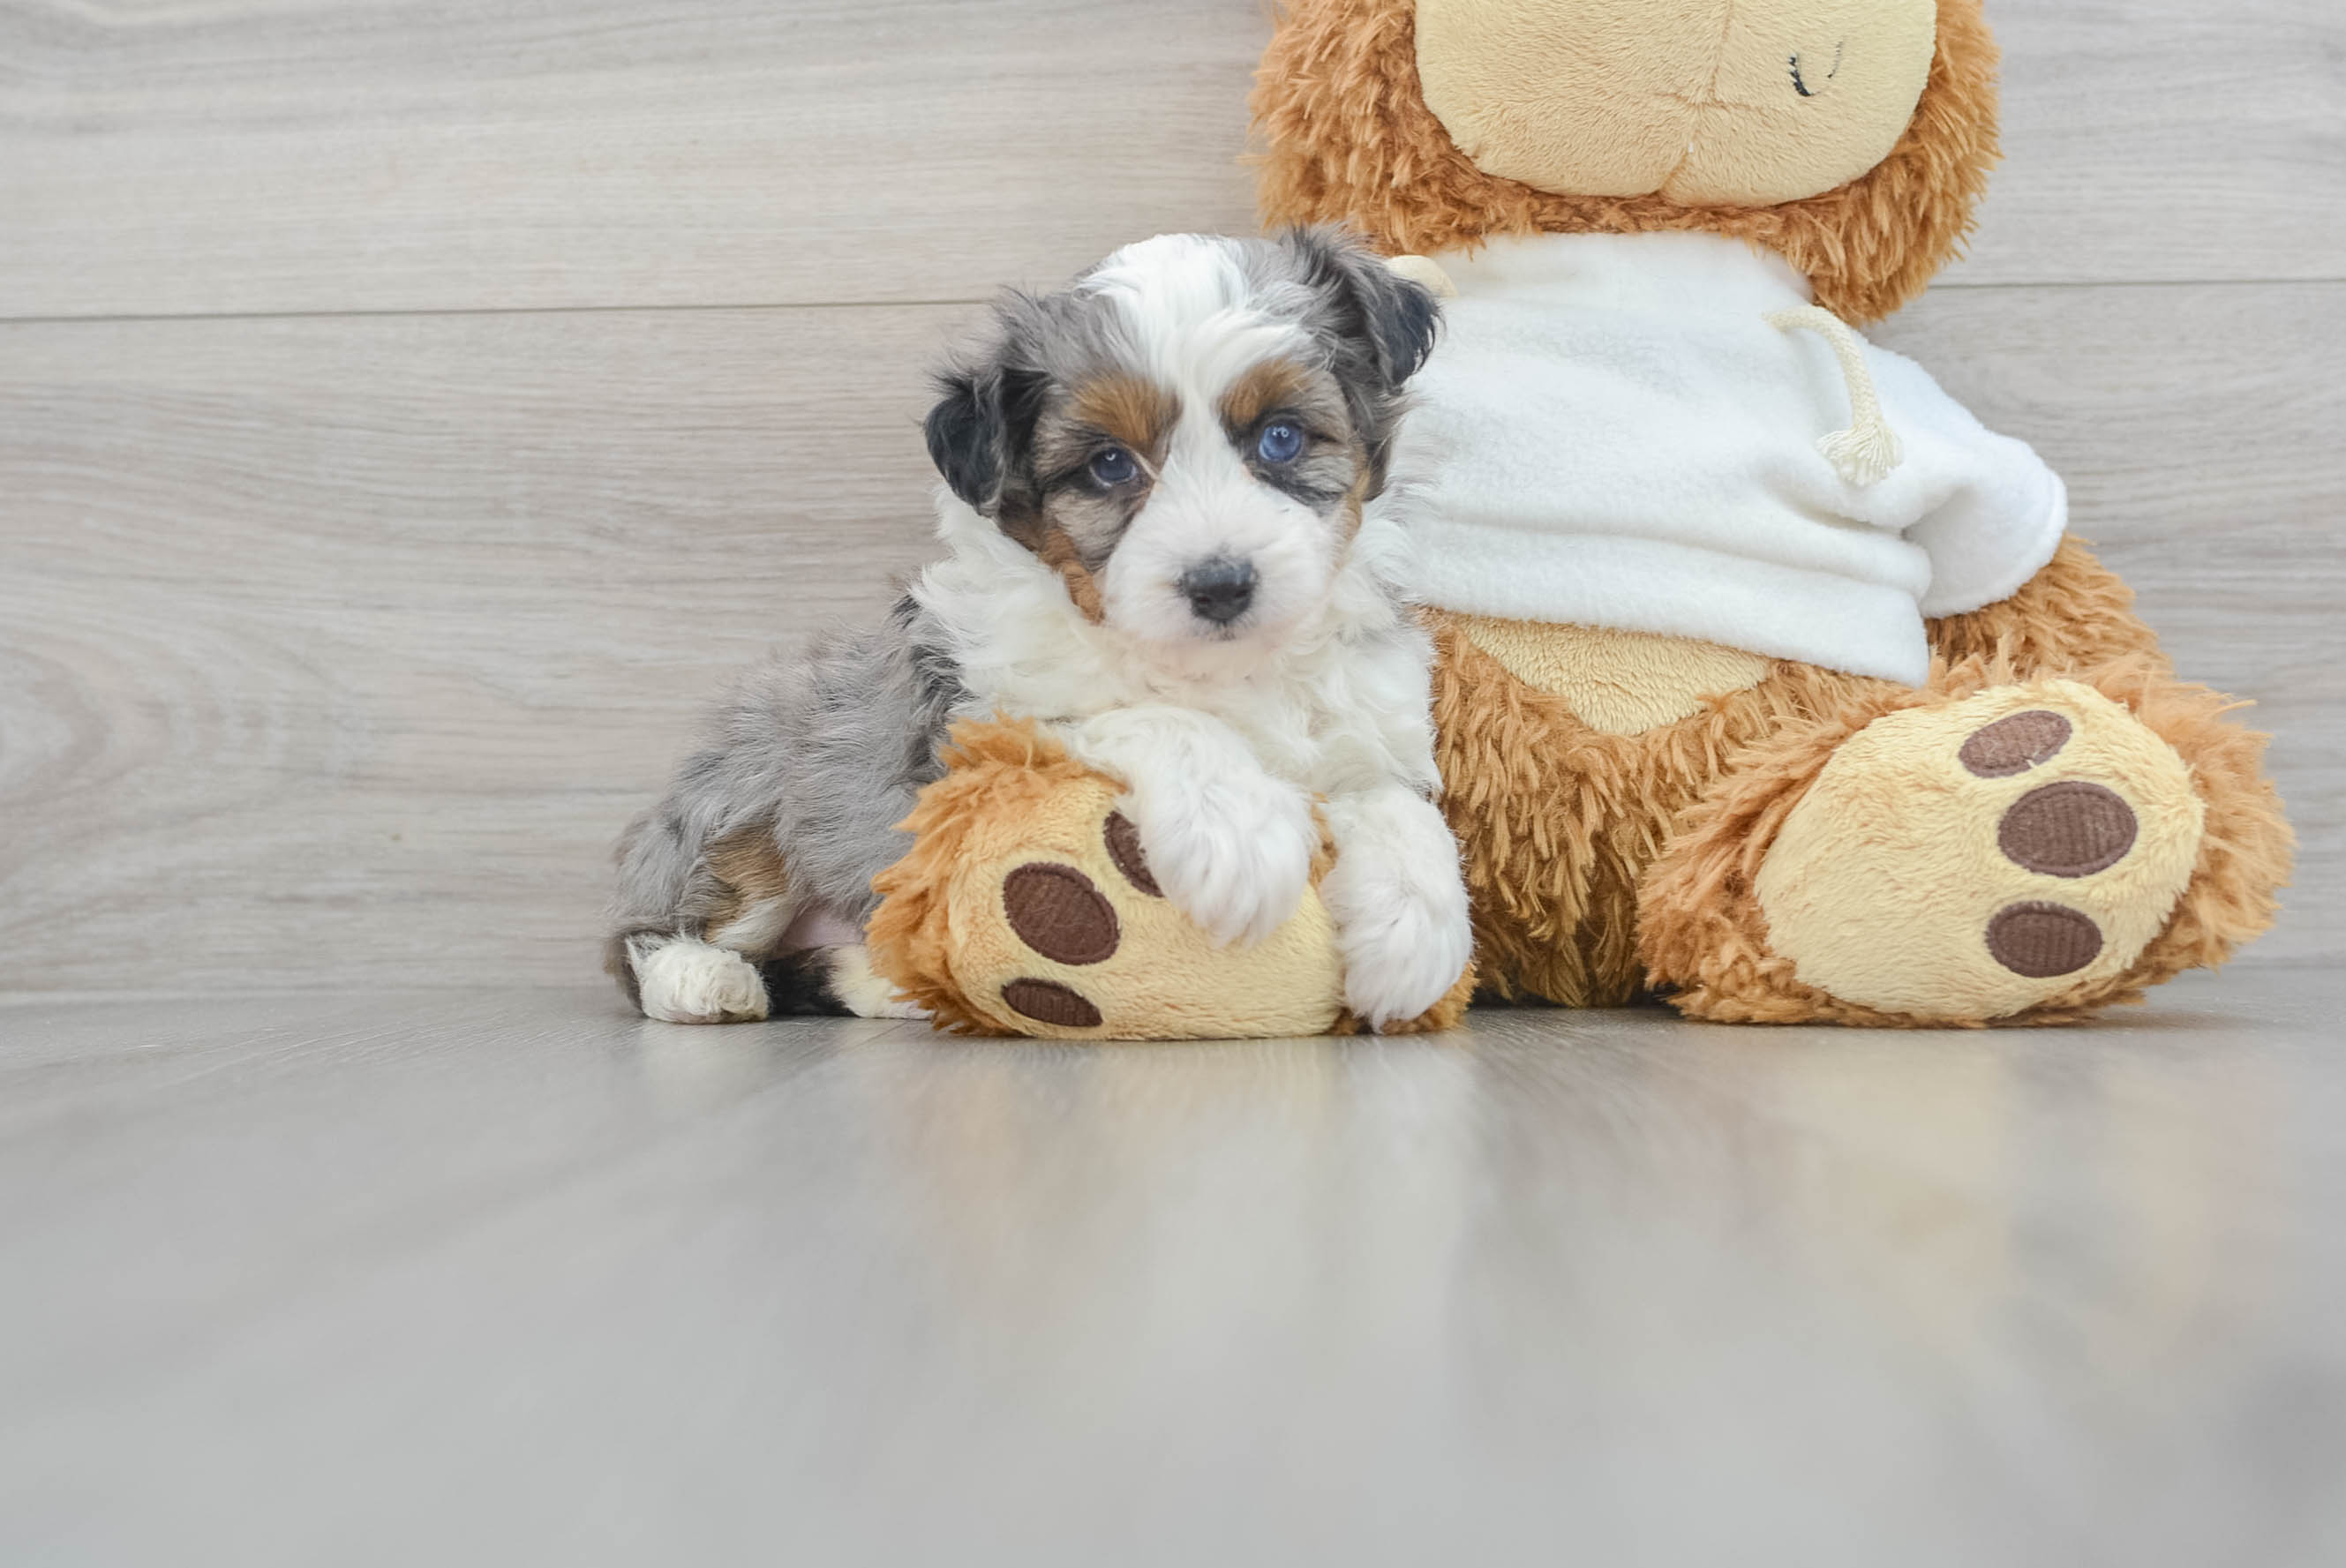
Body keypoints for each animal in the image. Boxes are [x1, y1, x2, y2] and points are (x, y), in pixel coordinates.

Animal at [614, 229, 1473, 1026]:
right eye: (1109, 465)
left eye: (1282, 436)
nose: (1221, 584)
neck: (1224, 667)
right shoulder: (982, 728)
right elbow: (1152, 717)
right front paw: (1238, 832)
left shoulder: (1367, 718)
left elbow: (1395, 800)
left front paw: (1415, 933)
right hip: (751, 794)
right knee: (654, 929)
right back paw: (704, 979)